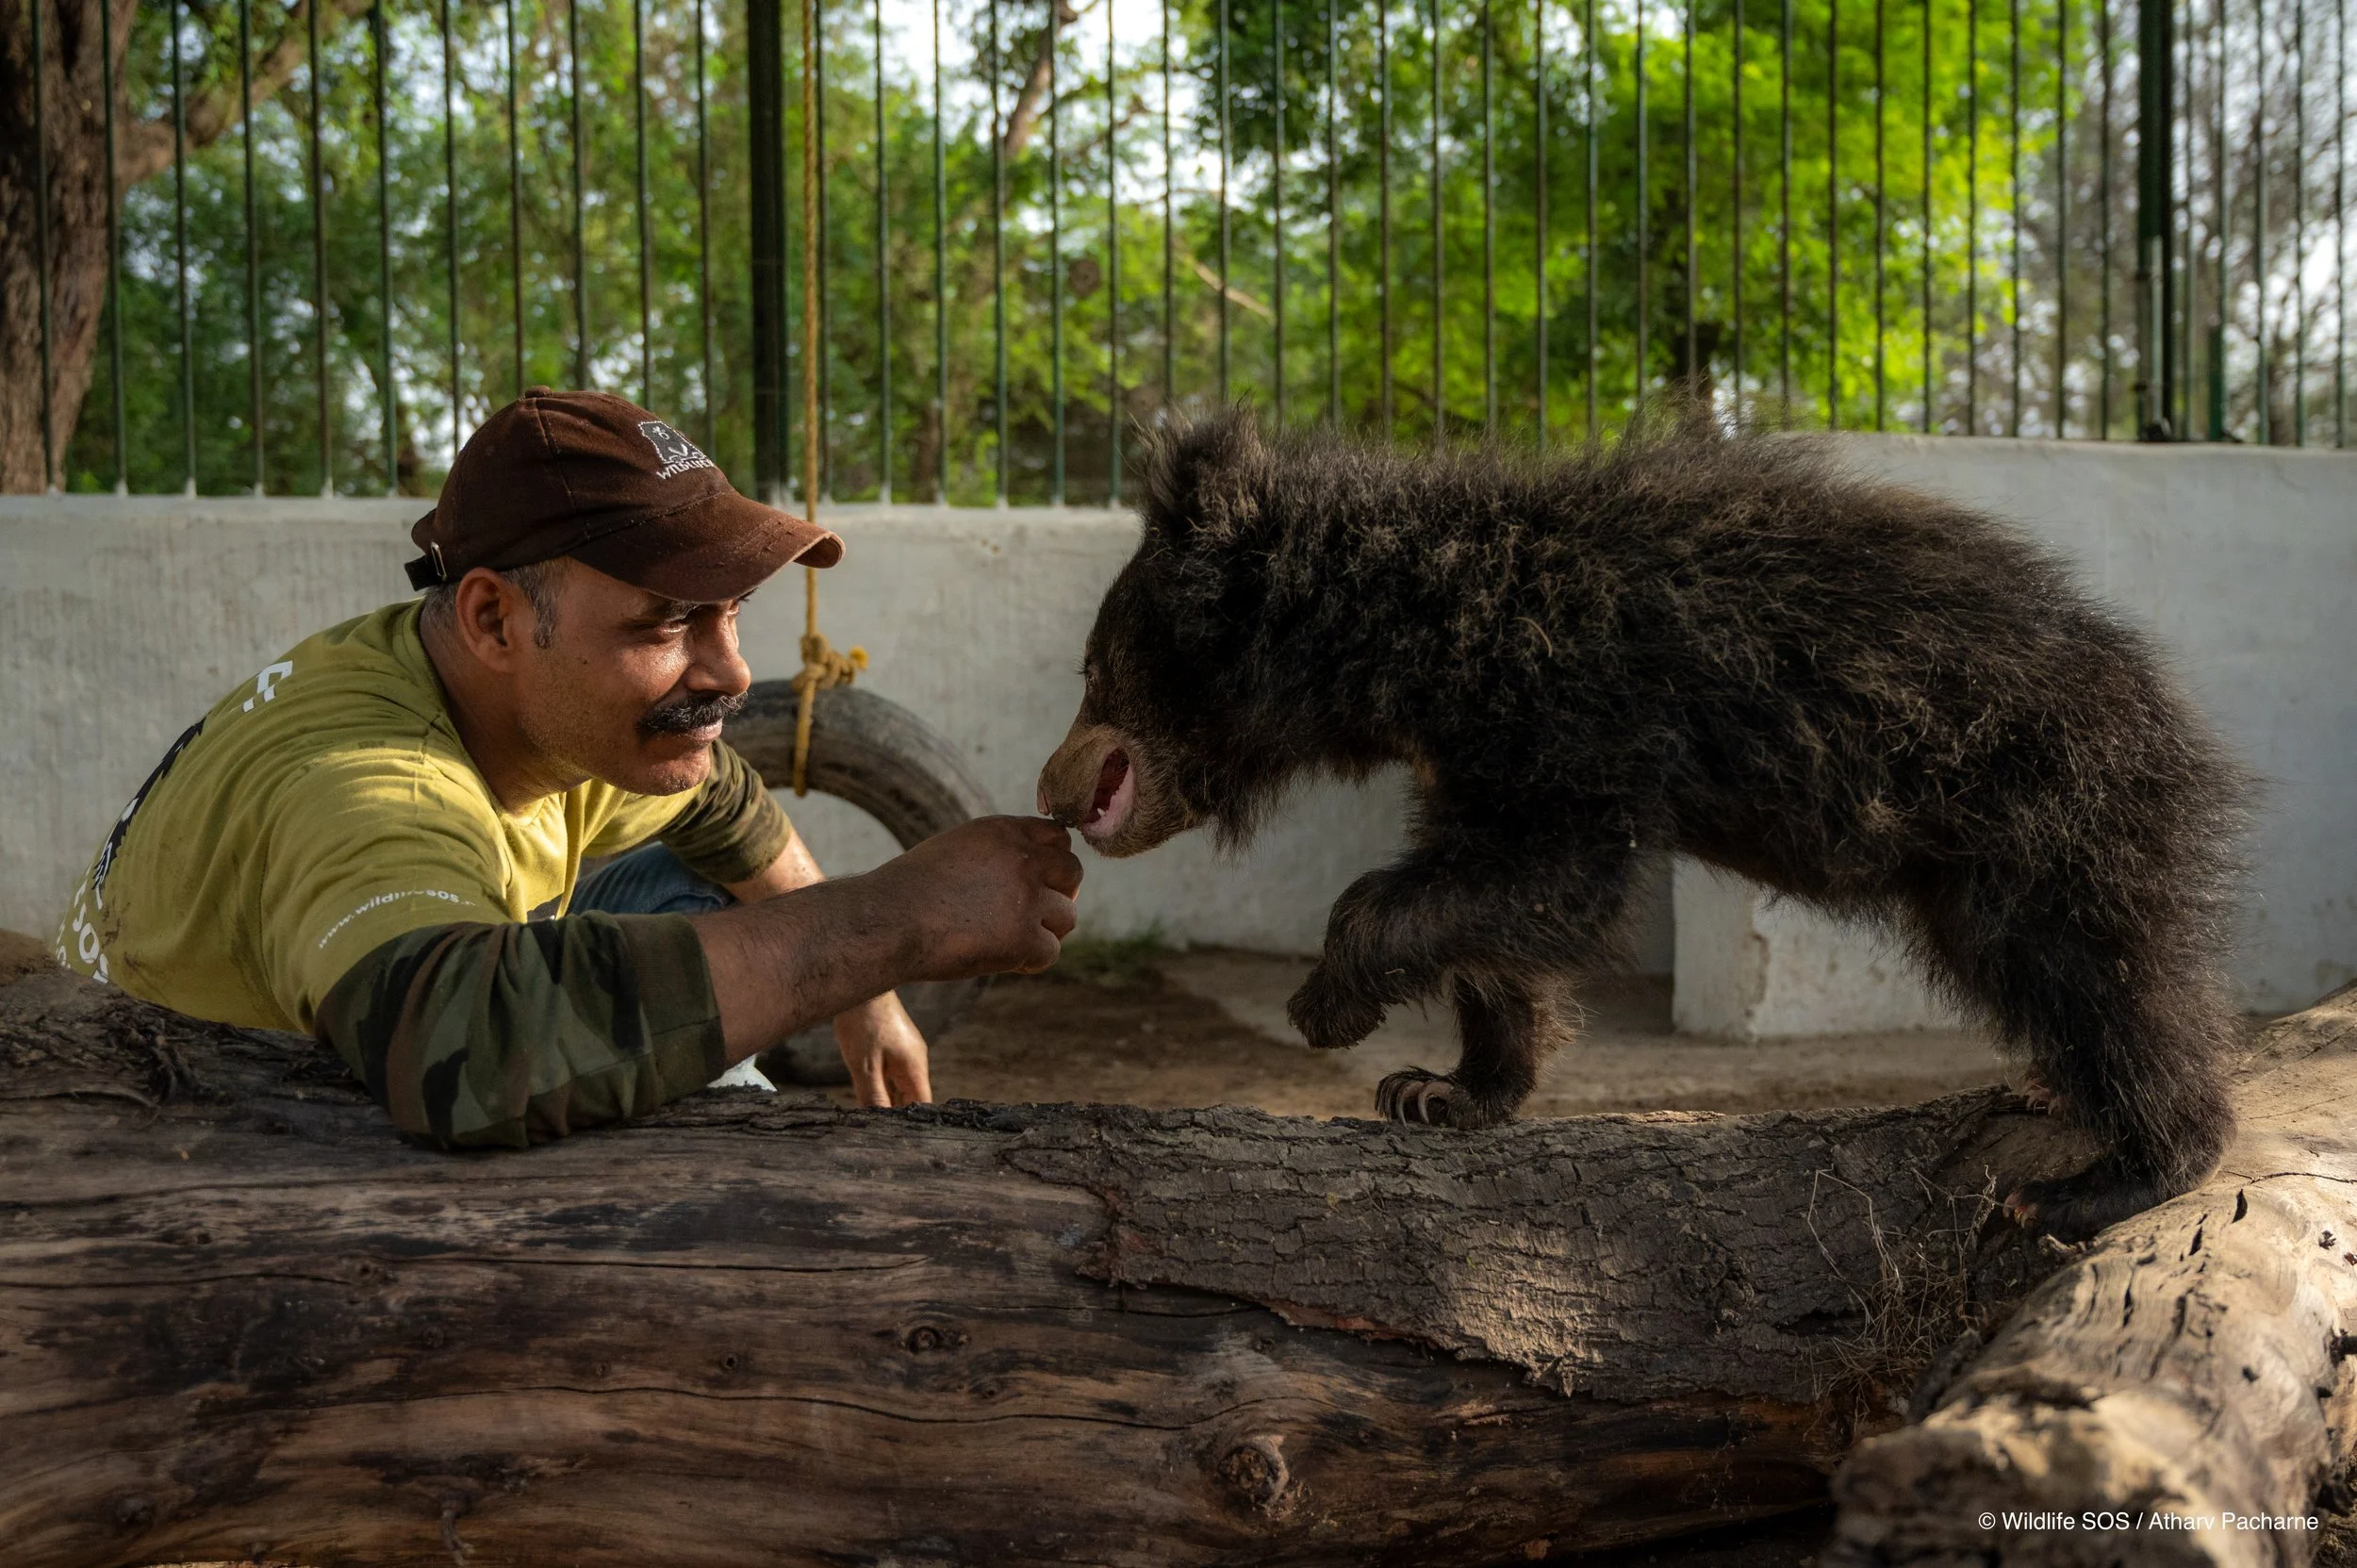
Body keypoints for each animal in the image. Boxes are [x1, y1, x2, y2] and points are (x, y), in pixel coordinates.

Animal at [1036, 408, 2246, 1243]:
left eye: (1092, 673)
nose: (1055, 789)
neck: (1406, 641)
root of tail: (2168, 710)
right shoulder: (1471, 752)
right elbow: (1497, 911)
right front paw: (1442, 1091)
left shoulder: (1565, 709)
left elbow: (1548, 879)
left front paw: (1327, 1007)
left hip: (2041, 811)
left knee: (2104, 975)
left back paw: (2111, 1175)